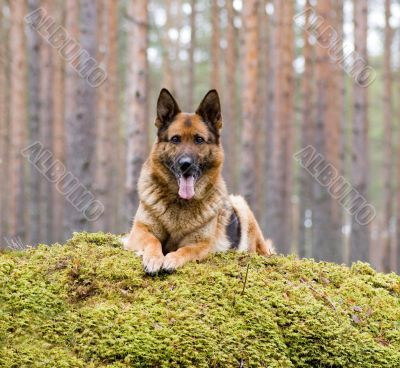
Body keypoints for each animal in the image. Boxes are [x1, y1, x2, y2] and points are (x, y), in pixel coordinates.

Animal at [124, 88, 276, 274]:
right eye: (175, 139)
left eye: (199, 139)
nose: (185, 164)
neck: (180, 203)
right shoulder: (140, 231)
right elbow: (153, 241)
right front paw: (154, 258)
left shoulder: (202, 243)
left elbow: (186, 250)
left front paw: (172, 259)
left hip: (241, 205)